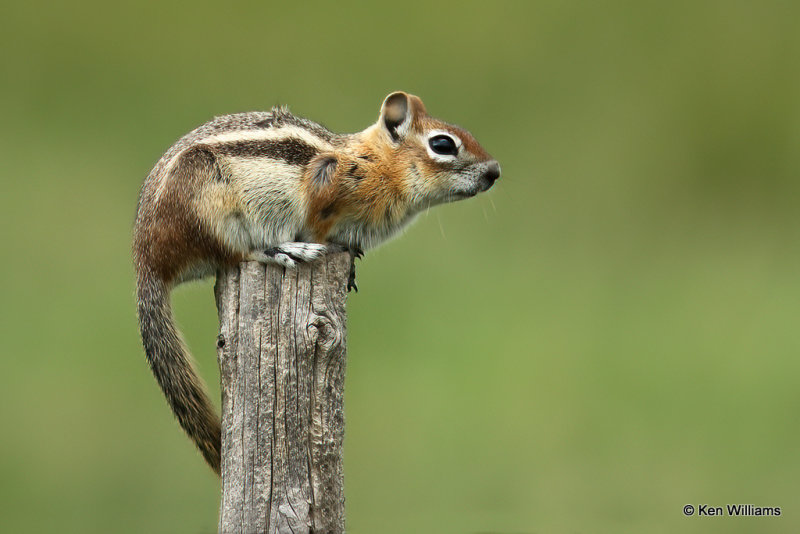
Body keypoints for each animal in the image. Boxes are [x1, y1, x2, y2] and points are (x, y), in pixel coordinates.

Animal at [132, 93, 500, 478]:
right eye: (442, 144)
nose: (495, 171)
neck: (376, 163)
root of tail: (147, 260)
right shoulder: (325, 188)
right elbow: (317, 223)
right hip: (209, 206)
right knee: (236, 254)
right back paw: (282, 249)